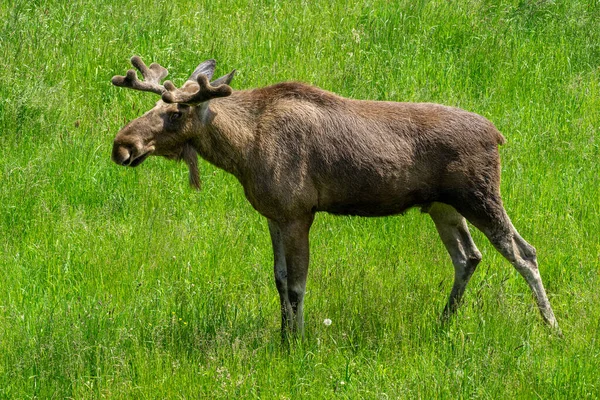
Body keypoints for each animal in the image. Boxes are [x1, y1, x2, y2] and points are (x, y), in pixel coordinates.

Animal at [112, 56, 564, 338]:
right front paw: (283, 335)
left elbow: (297, 285)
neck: (242, 151)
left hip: (480, 196)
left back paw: (552, 327)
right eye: (154, 105)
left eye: (176, 113)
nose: (122, 146)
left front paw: (296, 343)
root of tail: (497, 135)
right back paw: (443, 323)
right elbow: (279, 280)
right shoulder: (273, 215)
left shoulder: (299, 212)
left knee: (525, 253)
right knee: (469, 256)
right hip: (443, 206)